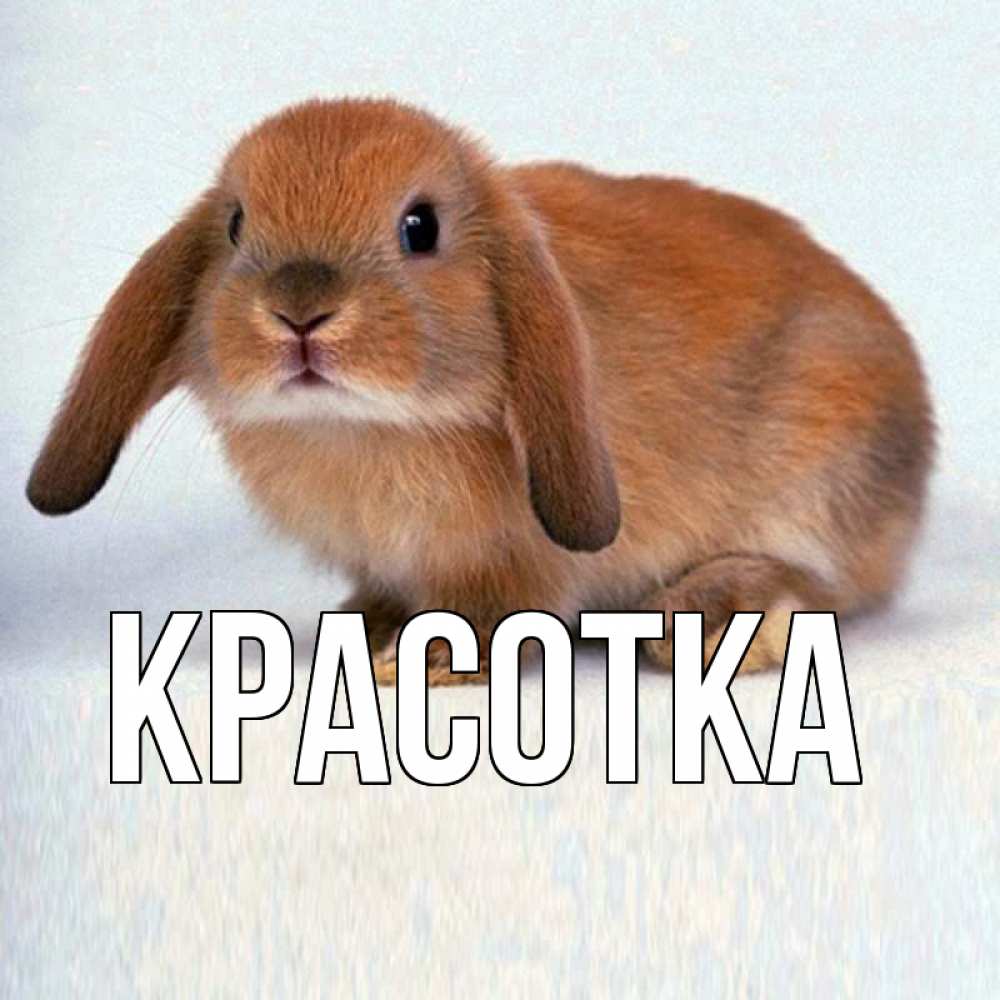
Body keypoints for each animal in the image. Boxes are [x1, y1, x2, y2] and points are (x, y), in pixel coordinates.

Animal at [26, 98, 934, 685]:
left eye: (419, 227)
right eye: (237, 225)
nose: (299, 311)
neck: (360, 429)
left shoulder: (516, 564)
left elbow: (492, 615)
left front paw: (421, 662)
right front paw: (365, 630)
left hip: (819, 474)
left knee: (816, 581)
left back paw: (710, 625)